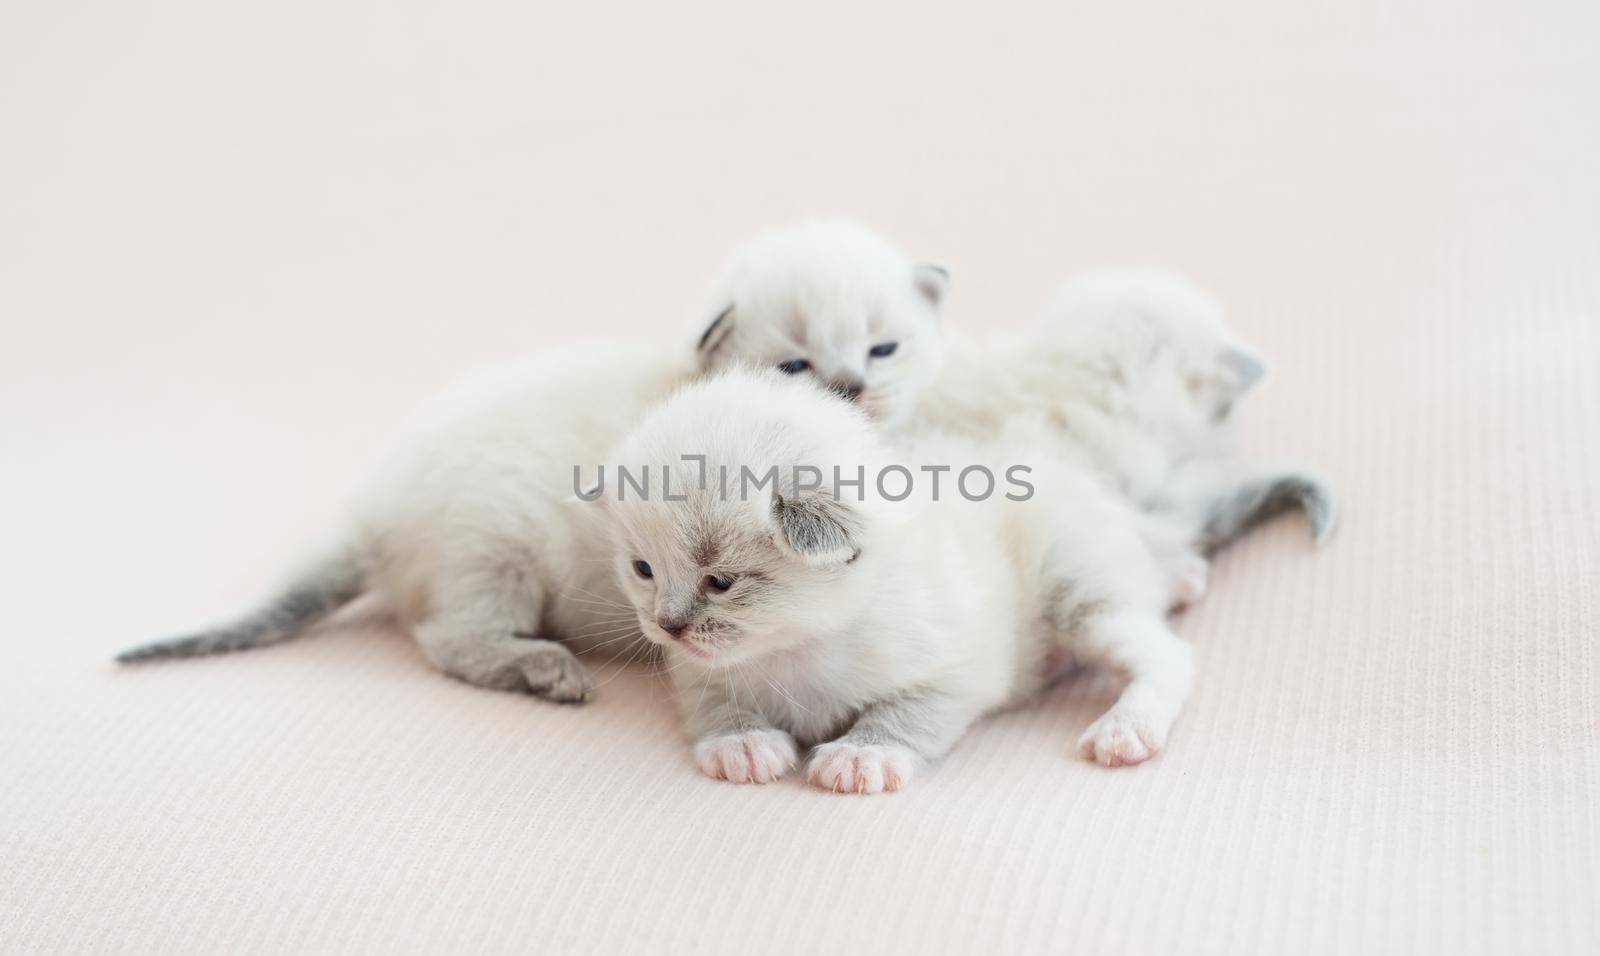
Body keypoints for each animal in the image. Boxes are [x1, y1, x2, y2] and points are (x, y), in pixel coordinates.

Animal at [601, 369, 1203, 792]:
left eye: (720, 581)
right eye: (643, 570)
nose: (667, 626)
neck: (798, 643)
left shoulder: (960, 669)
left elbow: (906, 712)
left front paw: (862, 753)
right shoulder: (696, 674)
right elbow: (716, 704)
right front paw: (741, 744)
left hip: (1079, 592)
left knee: (1169, 656)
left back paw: (1127, 727)